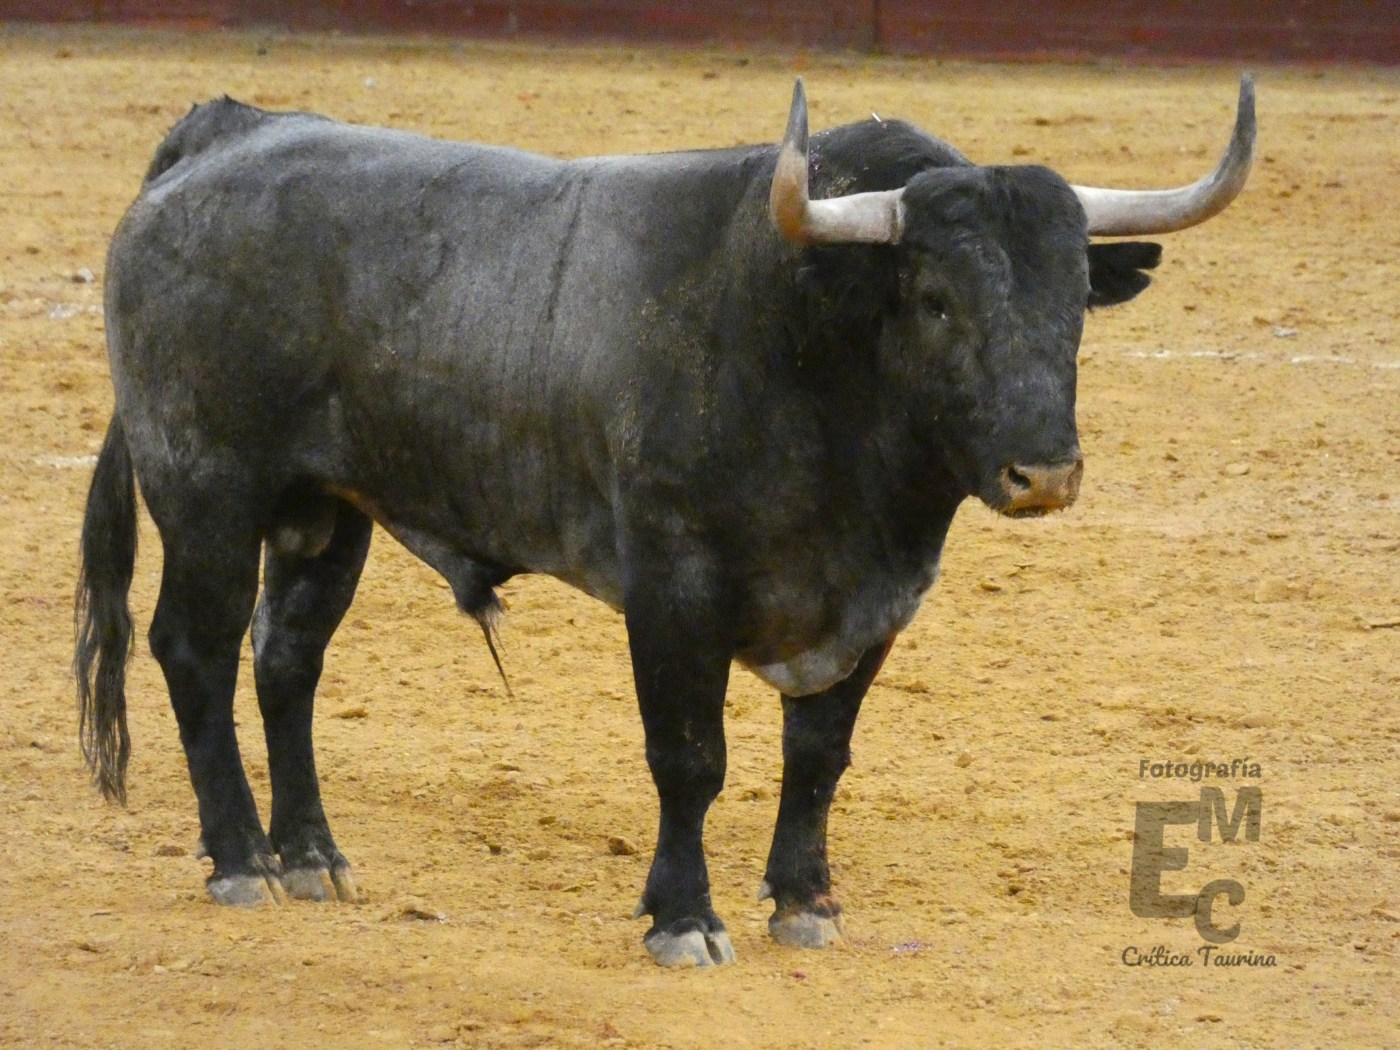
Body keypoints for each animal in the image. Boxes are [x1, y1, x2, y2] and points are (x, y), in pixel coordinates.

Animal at [75, 76, 1254, 967]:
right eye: (934, 301)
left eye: (1072, 303)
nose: (1041, 472)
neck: (801, 335)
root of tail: (222, 134)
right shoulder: (672, 589)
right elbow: (690, 757)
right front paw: (684, 918)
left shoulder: (876, 604)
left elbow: (819, 754)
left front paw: (805, 902)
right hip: (206, 491)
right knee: (194, 649)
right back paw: (240, 860)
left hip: (326, 513)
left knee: (286, 660)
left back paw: (313, 856)